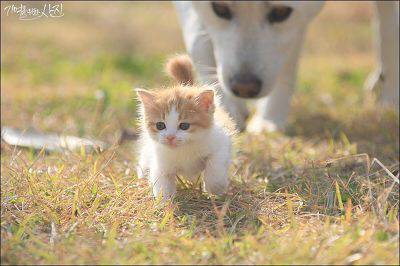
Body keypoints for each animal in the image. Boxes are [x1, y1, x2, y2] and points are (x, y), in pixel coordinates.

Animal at [136, 55, 236, 201]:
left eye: (184, 126)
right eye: (160, 125)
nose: (170, 137)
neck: (184, 150)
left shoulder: (221, 143)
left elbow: (215, 164)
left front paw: (215, 187)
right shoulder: (160, 162)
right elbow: (161, 181)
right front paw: (165, 202)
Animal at [173, 1, 398, 132]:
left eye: (281, 12)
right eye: (219, 8)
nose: (244, 89)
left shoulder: (295, 22)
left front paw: (269, 118)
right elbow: (198, 38)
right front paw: (224, 107)